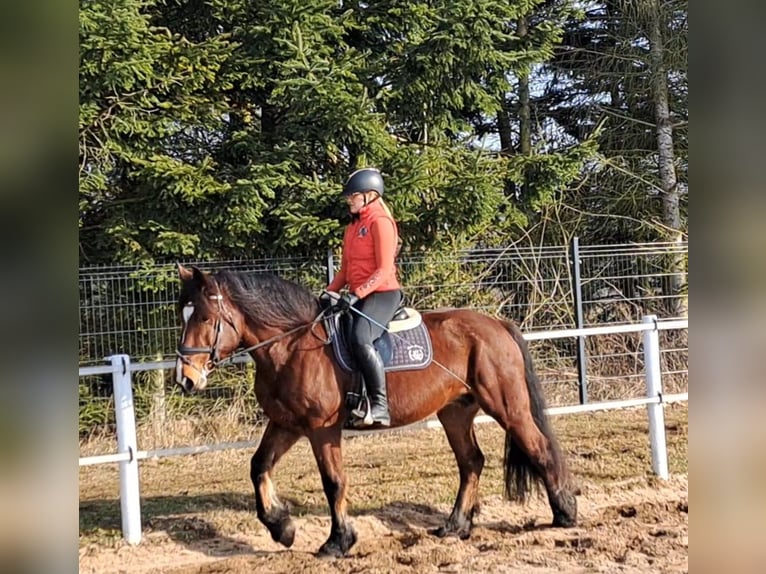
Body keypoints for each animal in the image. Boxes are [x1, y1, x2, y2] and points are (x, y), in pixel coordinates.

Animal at [176, 264, 576, 560]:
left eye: (206, 318)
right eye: (183, 316)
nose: (187, 380)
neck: (291, 346)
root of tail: (497, 325)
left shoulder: (321, 429)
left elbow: (333, 482)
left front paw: (337, 542)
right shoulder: (286, 424)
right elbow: (258, 466)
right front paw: (282, 527)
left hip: (507, 406)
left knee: (539, 449)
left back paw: (565, 513)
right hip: (455, 412)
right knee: (471, 461)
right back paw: (456, 526)